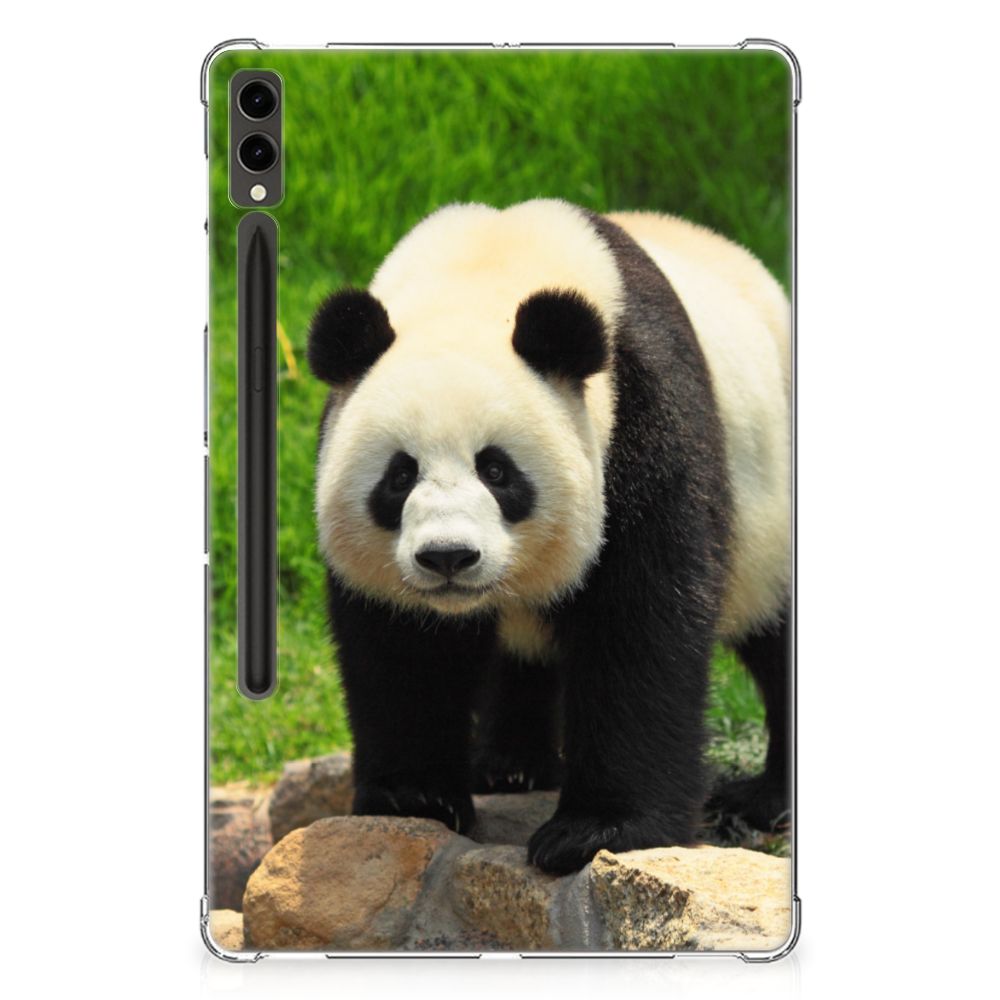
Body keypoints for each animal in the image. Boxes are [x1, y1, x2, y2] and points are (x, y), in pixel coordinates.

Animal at [307, 199, 791, 875]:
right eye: (400, 475)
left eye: (497, 470)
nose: (448, 557)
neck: (483, 272)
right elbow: (402, 645)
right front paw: (414, 796)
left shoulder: (643, 417)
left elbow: (640, 623)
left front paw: (596, 830)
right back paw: (510, 766)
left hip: (773, 508)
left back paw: (764, 798)